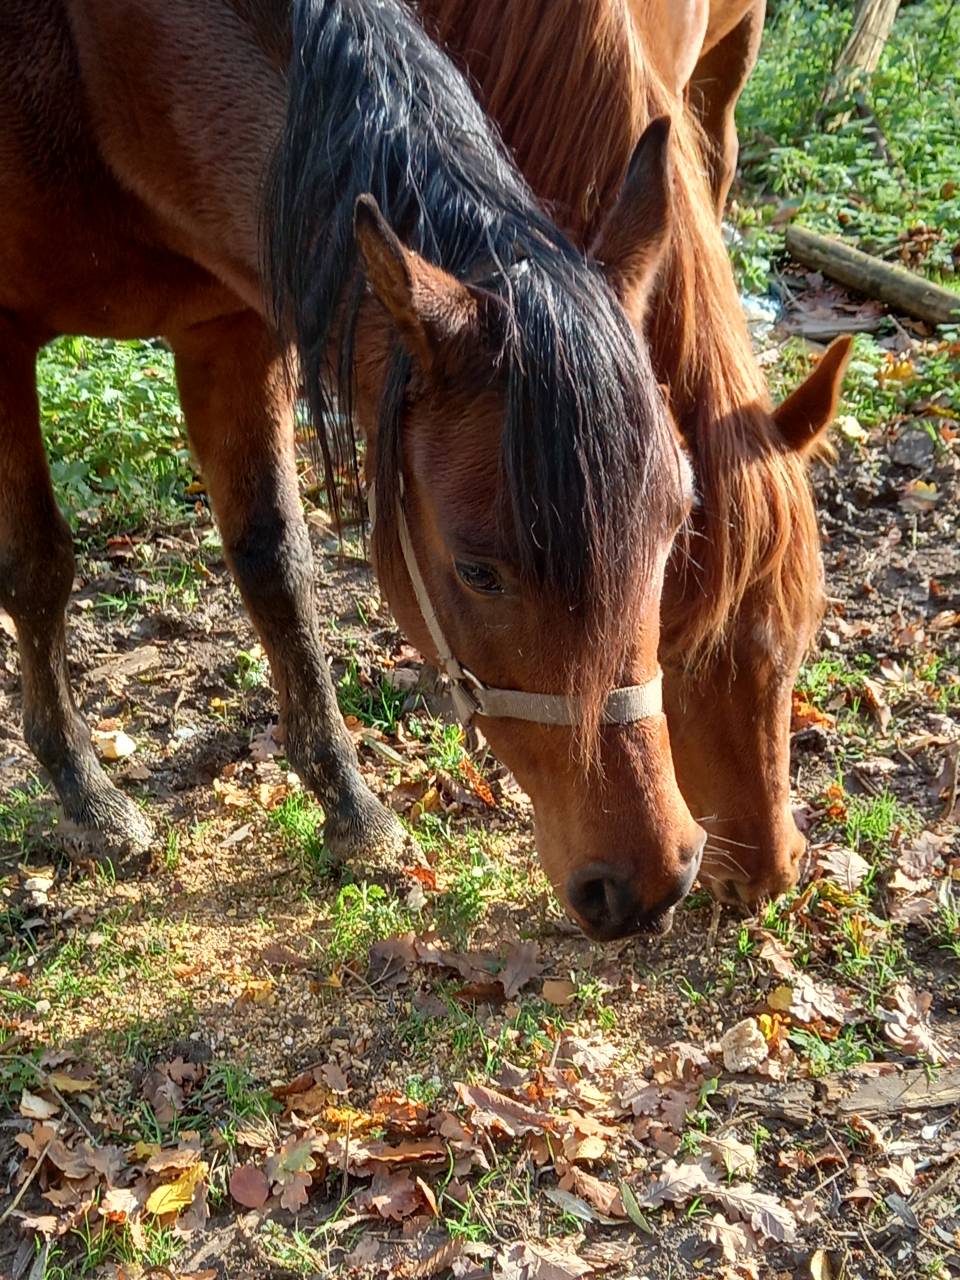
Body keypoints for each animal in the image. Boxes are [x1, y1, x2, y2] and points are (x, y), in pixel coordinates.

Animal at [0, 0, 706, 942]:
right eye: (478, 571)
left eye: (674, 529)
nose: (652, 882)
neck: (105, 67)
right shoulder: (0, 341)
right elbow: (38, 568)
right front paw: (86, 796)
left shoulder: (231, 328)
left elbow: (276, 569)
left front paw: (350, 809)